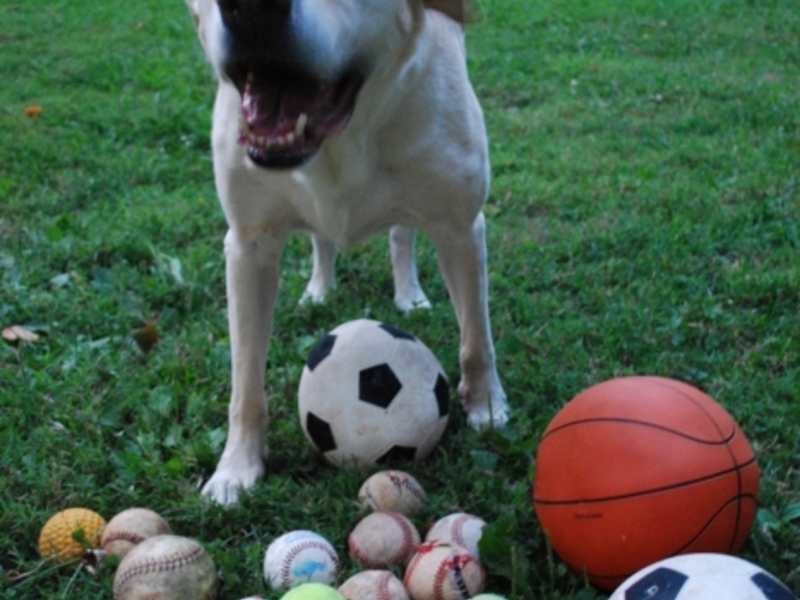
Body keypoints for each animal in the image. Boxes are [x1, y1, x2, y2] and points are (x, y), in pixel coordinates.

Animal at [184, 0, 510, 506]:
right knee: (322, 238)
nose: (253, 8)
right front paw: (237, 467)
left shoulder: (460, 225)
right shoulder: (247, 244)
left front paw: (486, 406)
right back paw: (320, 288)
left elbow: (477, 338)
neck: (344, 136)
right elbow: (245, 382)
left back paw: (409, 294)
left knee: (401, 235)